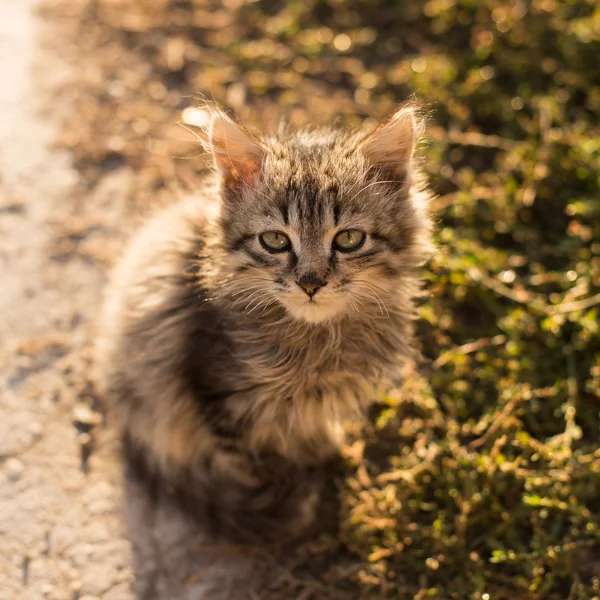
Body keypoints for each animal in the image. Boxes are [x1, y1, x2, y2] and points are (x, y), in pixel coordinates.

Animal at [94, 103, 434, 544]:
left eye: (349, 240)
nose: (310, 283)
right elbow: (255, 461)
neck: (317, 343)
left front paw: (321, 448)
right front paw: (285, 486)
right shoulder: (218, 393)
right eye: (275, 241)